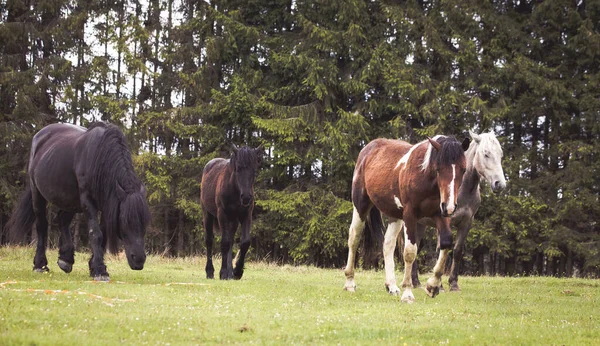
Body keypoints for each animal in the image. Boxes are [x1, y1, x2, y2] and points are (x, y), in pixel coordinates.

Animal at [5, 123, 150, 280]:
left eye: (145, 223)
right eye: (124, 222)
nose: (139, 260)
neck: (100, 157)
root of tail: (39, 136)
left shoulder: (108, 204)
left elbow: (103, 234)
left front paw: (94, 267)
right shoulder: (88, 201)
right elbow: (96, 233)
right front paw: (100, 271)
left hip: (70, 201)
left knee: (62, 220)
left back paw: (65, 260)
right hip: (38, 194)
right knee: (42, 226)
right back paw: (40, 265)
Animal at [200, 145, 262, 280]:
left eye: (254, 170)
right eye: (238, 168)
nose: (246, 197)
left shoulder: (246, 215)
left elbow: (244, 242)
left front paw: (237, 271)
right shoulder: (222, 214)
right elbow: (225, 242)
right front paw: (223, 272)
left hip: (233, 220)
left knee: (231, 240)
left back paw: (230, 272)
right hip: (208, 214)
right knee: (209, 241)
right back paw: (210, 272)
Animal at [342, 135, 468, 302]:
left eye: (463, 169)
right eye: (438, 169)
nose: (450, 206)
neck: (424, 175)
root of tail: (368, 149)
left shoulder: (440, 214)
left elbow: (446, 243)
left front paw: (432, 286)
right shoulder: (410, 216)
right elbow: (409, 252)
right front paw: (408, 293)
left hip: (395, 215)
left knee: (388, 244)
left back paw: (391, 286)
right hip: (361, 206)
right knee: (354, 239)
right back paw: (350, 283)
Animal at [408, 131, 506, 290]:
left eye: (500, 154)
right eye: (486, 154)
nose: (500, 184)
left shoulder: (467, 222)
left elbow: (458, 250)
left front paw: (453, 283)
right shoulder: (444, 220)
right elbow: (441, 250)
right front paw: (439, 285)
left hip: (420, 224)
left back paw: (416, 282)